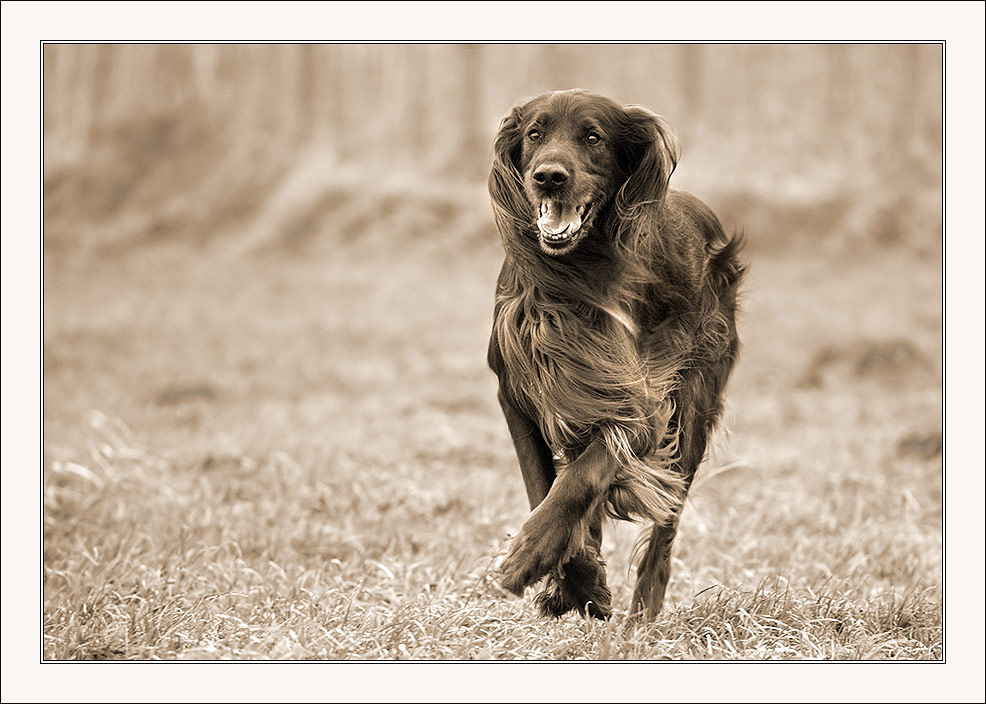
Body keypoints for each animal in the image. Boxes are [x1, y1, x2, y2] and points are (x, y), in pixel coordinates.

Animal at [484, 89, 744, 620]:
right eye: (534, 133)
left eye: (593, 137)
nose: (549, 176)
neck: (578, 272)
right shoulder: (521, 390)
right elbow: (542, 482)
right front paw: (577, 580)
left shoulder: (643, 397)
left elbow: (586, 474)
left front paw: (531, 555)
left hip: (694, 403)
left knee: (667, 522)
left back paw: (643, 614)